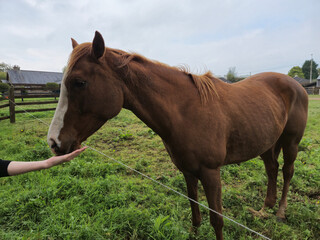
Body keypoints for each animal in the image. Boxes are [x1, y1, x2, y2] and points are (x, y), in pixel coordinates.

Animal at [47, 31, 308, 240]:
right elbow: (194, 207)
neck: (185, 112)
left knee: (287, 172)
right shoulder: (188, 170)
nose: (54, 142)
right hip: (267, 143)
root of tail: (296, 85)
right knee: (272, 169)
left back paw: (280, 212)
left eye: (80, 82)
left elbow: (217, 219)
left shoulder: (211, 172)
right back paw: (264, 209)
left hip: (291, 143)